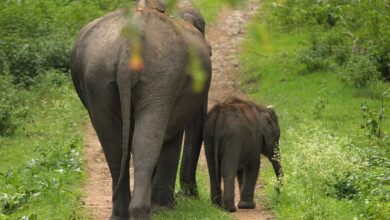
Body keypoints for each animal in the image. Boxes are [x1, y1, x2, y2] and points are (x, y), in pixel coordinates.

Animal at [69, 0, 210, 219]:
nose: (190, 194)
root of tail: (129, 44)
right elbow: (171, 137)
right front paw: (166, 208)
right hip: (160, 75)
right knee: (146, 140)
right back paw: (144, 211)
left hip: (97, 76)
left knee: (114, 143)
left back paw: (122, 214)